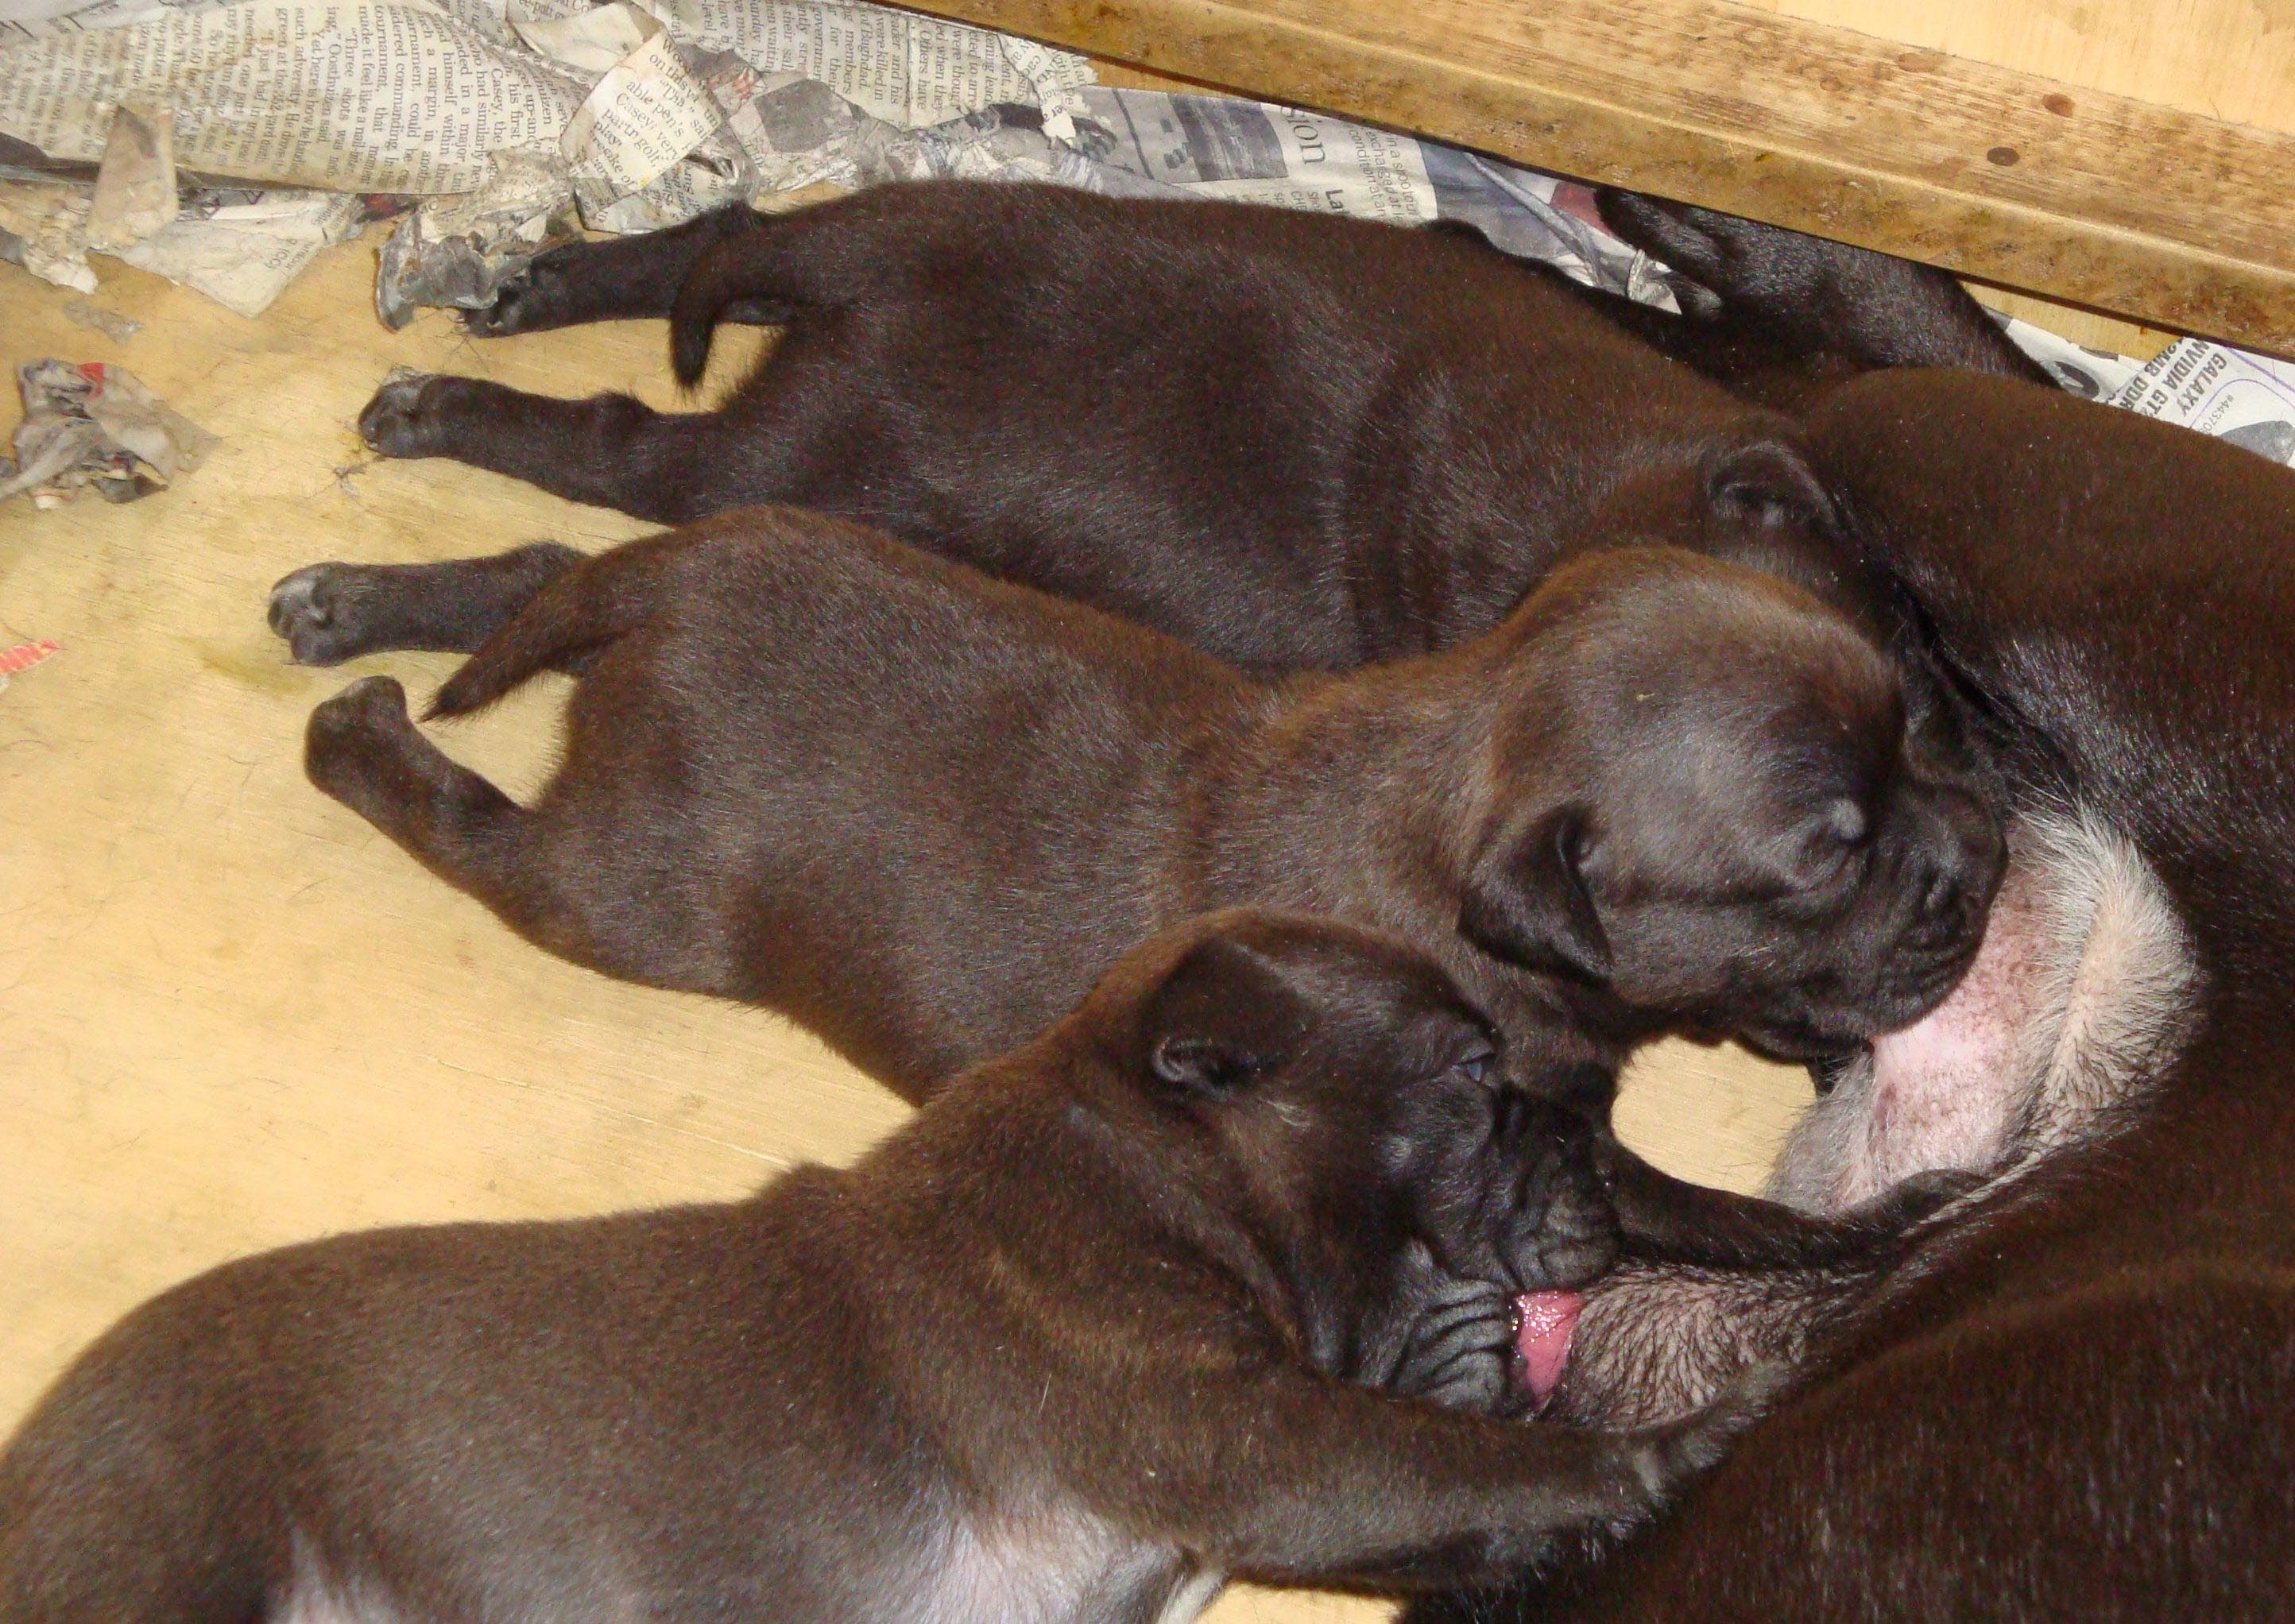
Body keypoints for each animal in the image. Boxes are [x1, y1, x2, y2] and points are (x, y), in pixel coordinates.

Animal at [0, 908, 1771, 1614]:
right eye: (1472, 1078)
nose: (1596, 1161)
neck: (1164, 1167)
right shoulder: (1243, 1438)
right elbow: (1477, 1461)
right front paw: (1705, 1429)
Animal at [339, 174, 1863, 670]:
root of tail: (876, 284)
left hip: (881, 229)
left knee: (723, 228)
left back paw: (542, 283)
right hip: (782, 459)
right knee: (611, 436)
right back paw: (437, 417)